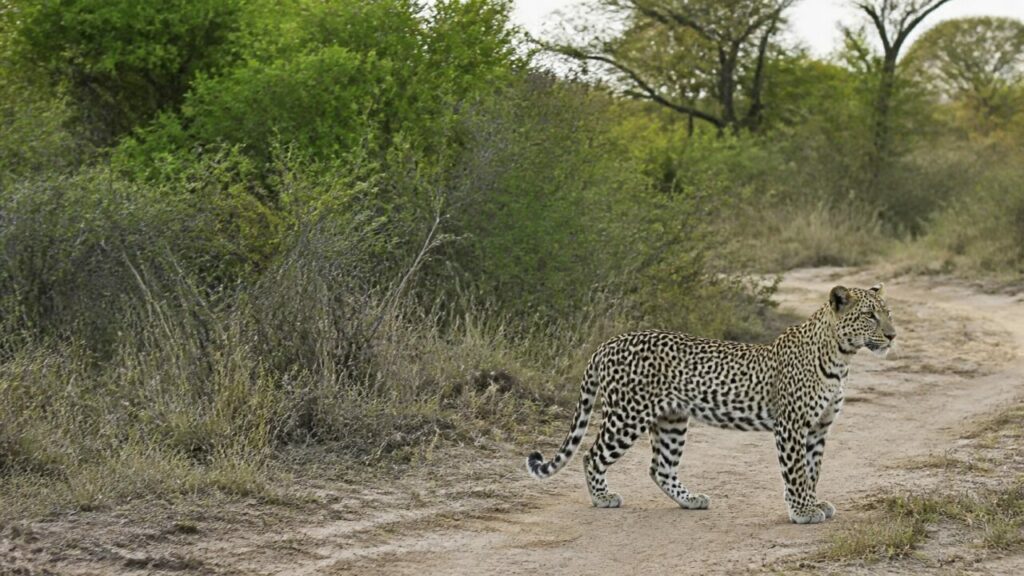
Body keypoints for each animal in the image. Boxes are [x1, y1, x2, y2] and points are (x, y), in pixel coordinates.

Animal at [526, 284, 896, 524]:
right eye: (869, 316)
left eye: (888, 313)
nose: (893, 336)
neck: (841, 358)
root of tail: (607, 344)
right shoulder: (792, 425)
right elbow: (796, 470)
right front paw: (803, 511)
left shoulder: (819, 428)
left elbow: (812, 469)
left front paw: (813, 502)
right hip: (627, 416)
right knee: (592, 455)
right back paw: (602, 498)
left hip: (672, 419)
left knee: (660, 467)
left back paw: (691, 500)